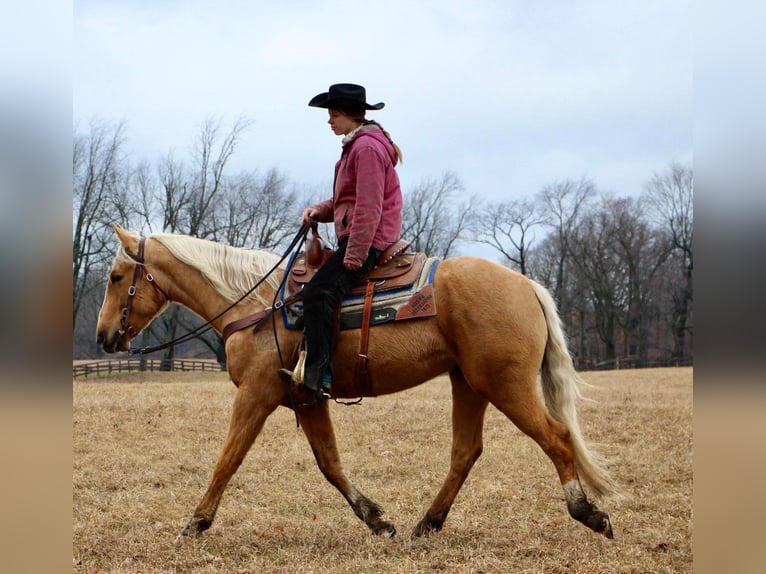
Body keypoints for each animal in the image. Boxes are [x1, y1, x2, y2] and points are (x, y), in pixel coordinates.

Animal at [96, 225, 620, 544]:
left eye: (117, 275)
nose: (103, 337)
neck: (257, 306)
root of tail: (526, 284)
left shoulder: (257, 396)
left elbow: (227, 460)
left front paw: (196, 523)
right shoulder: (306, 401)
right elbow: (330, 464)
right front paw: (377, 519)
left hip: (505, 385)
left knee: (557, 438)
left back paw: (588, 513)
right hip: (469, 384)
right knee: (465, 452)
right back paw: (427, 523)